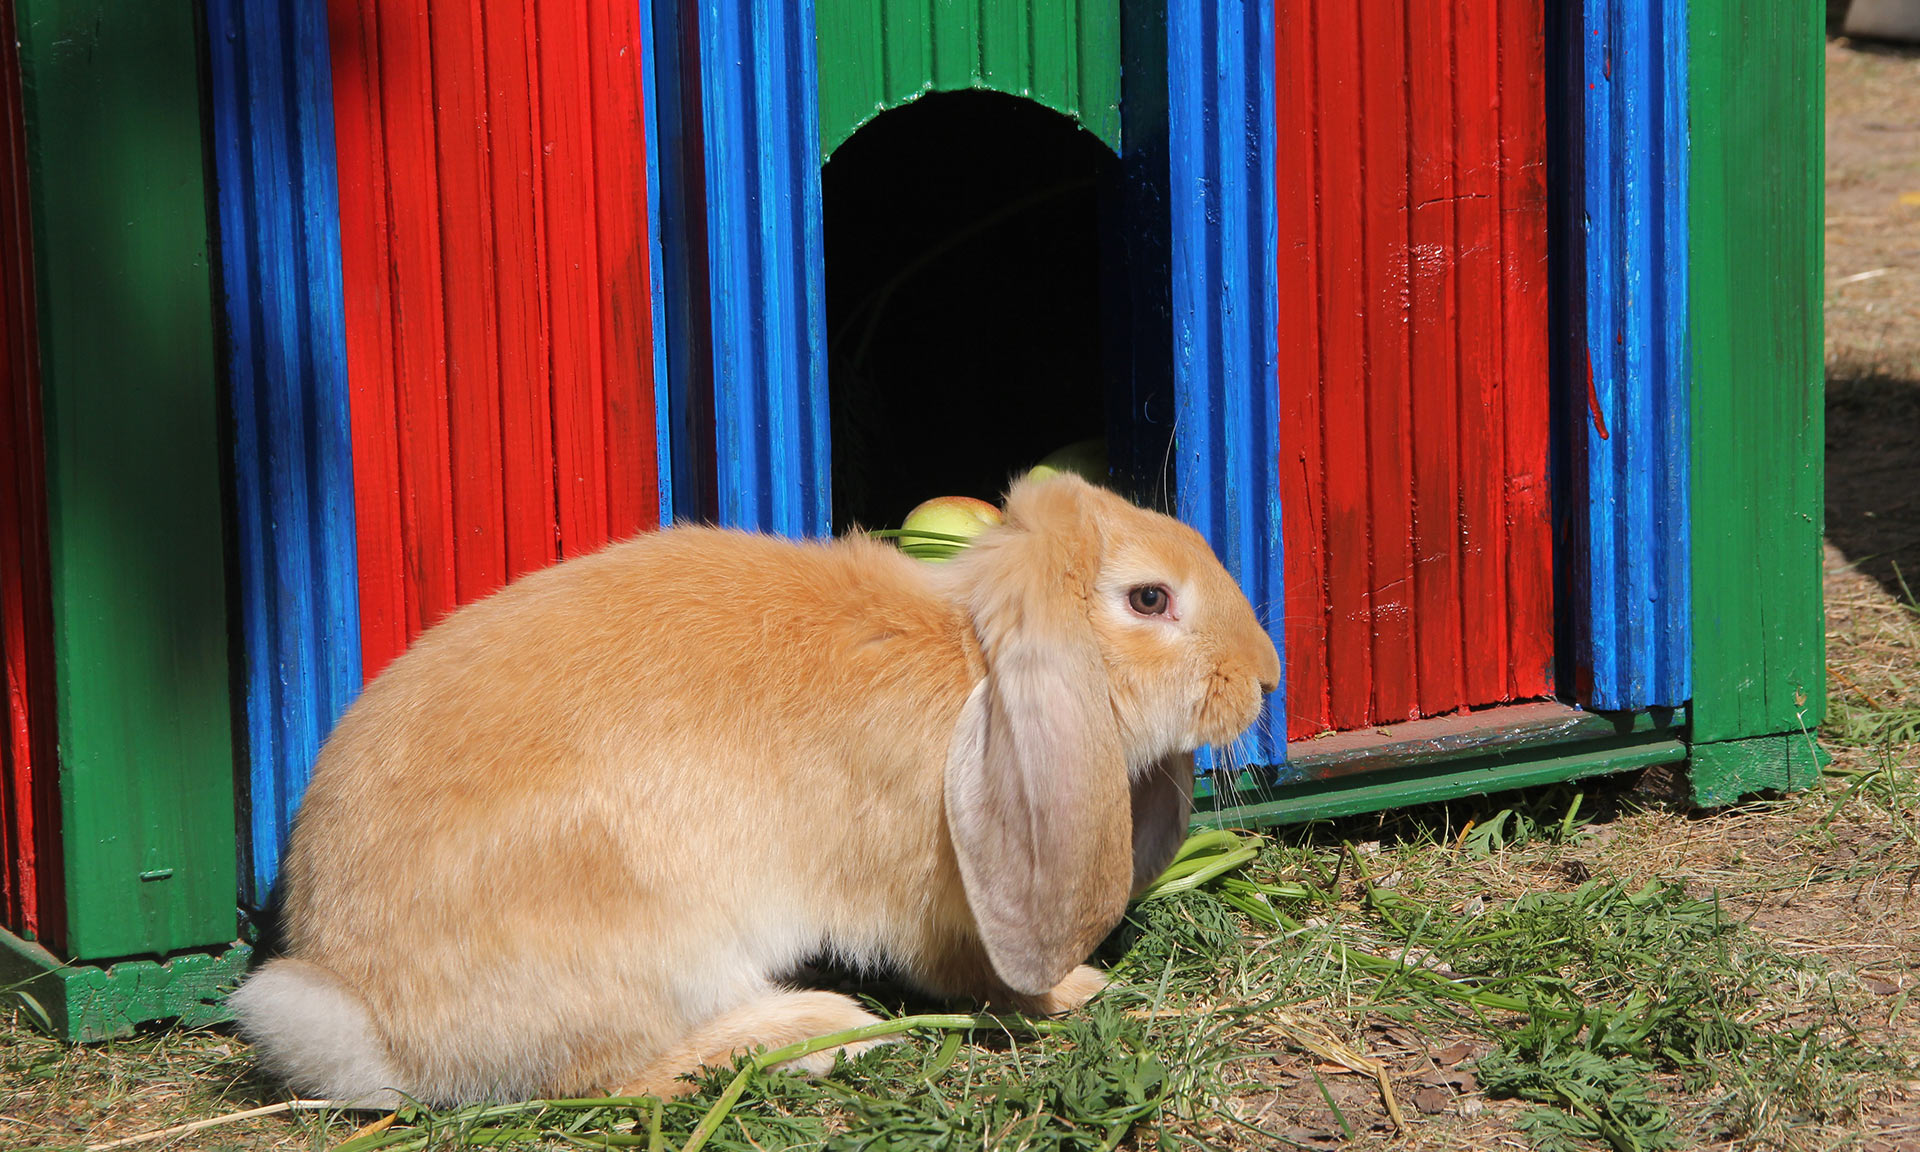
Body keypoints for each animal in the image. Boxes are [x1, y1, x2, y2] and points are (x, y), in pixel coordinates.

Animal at [228, 473, 1281, 1108]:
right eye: (1149, 600)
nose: (1266, 674)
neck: (969, 660)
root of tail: (360, 1011)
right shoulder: (931, 898)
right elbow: (966, 969)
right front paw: (1075, 989)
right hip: (650, 941)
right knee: (616, 1072)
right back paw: (819, 1032)